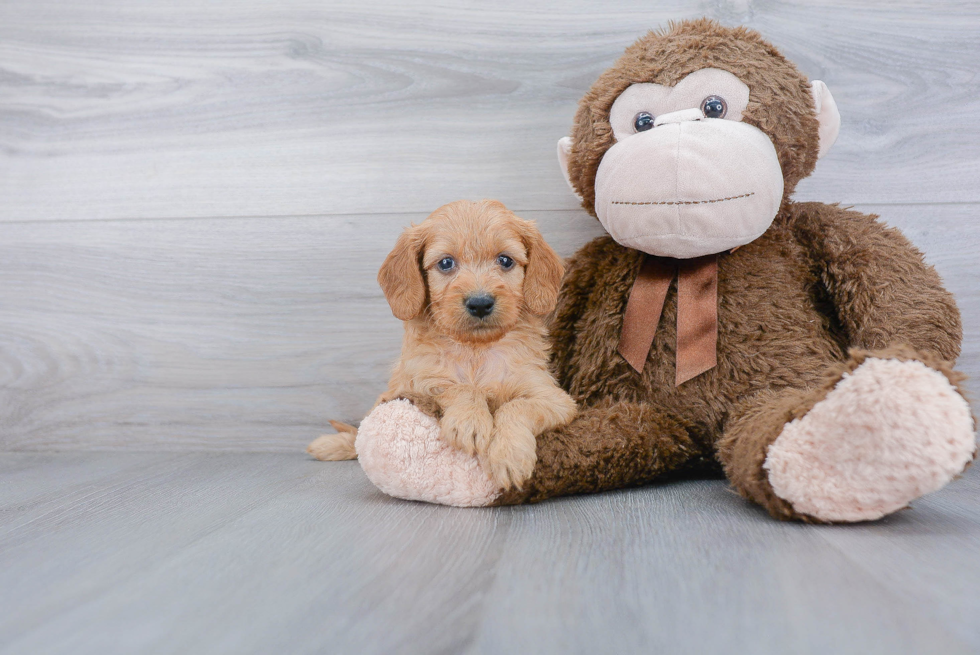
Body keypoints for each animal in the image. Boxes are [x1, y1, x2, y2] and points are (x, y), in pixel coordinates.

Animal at [310, 200, 580, 492]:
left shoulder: (554, 398)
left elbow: (516, 407)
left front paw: (509, 455)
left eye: (505, 260)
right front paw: (470, 421)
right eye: (446, 263)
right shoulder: (414, 384)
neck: (475, 350)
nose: (480, 303)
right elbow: (459, 387)